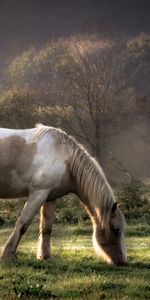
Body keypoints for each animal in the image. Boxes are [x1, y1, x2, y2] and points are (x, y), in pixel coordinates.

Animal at [0, 124, 126, 264]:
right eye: (116, 230)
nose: (122, 261)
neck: (65, 158)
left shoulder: (50, 197)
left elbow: (46, 227)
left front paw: (45, 256)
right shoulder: (38, 194)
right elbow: (23, 224)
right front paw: (7, 255)